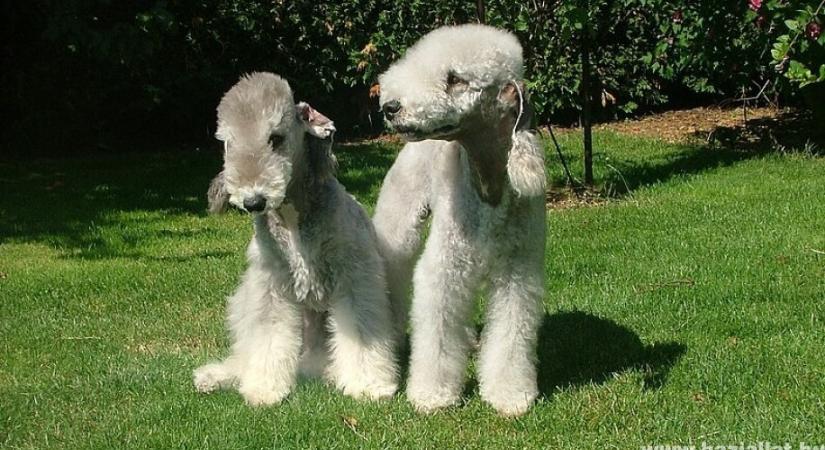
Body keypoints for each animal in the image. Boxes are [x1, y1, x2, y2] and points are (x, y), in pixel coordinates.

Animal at [193, 73, 400, 404]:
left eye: (275, 138)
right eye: (227, 142)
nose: (253, 201)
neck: (293, 217)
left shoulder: (354, 276)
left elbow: (361, 327)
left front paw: (369, 384)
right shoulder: (271, 285)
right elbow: (267, 337)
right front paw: (264, 388)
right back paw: (215, 376)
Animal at [374, 25, 548, 418]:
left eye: (455, 79)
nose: (390, 107)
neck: (488, 183)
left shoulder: (518, 271)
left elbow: (512, 333)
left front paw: (509, 394)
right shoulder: (444, 267)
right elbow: (436, 330)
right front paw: (432, 395)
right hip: (399, 223)